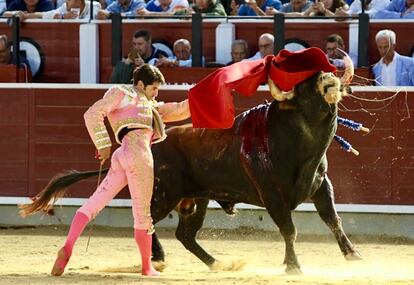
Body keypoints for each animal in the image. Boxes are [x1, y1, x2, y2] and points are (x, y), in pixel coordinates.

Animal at [21, 51, 360, 272]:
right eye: (305, 86)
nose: (329, 78)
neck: (302, 146)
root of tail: (153, 145)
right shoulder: (272, 194)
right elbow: (289, 229)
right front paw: (293, 266)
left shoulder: (321, 186)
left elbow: (333, 220)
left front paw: (353, 255)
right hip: (165, 194)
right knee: (146, 220)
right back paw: (158, 259)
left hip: (197, 199)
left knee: (184, 234)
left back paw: (216, 263)